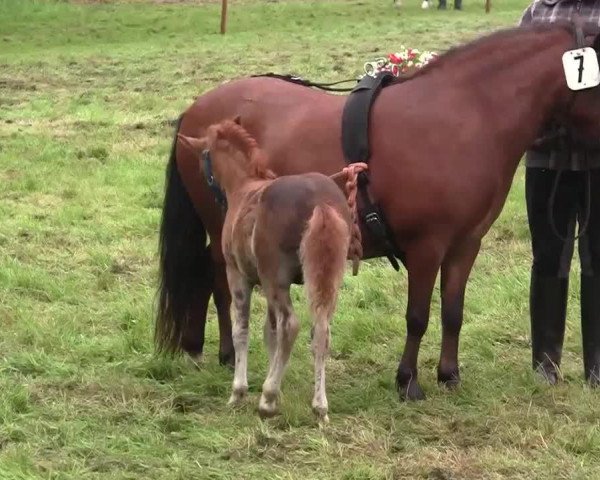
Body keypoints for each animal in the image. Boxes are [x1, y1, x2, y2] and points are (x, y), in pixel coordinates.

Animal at [176, 118, 366, 422]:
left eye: (203, 161)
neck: (245, 186)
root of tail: (319, 202)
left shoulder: (239, 276)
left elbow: (242, 329)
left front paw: (240, 391)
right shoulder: (268, 284)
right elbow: (270, 333)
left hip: (276, 280)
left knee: (291, 325)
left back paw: (267, 399)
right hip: (327, 278)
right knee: (321, 330)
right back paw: (319, 406)